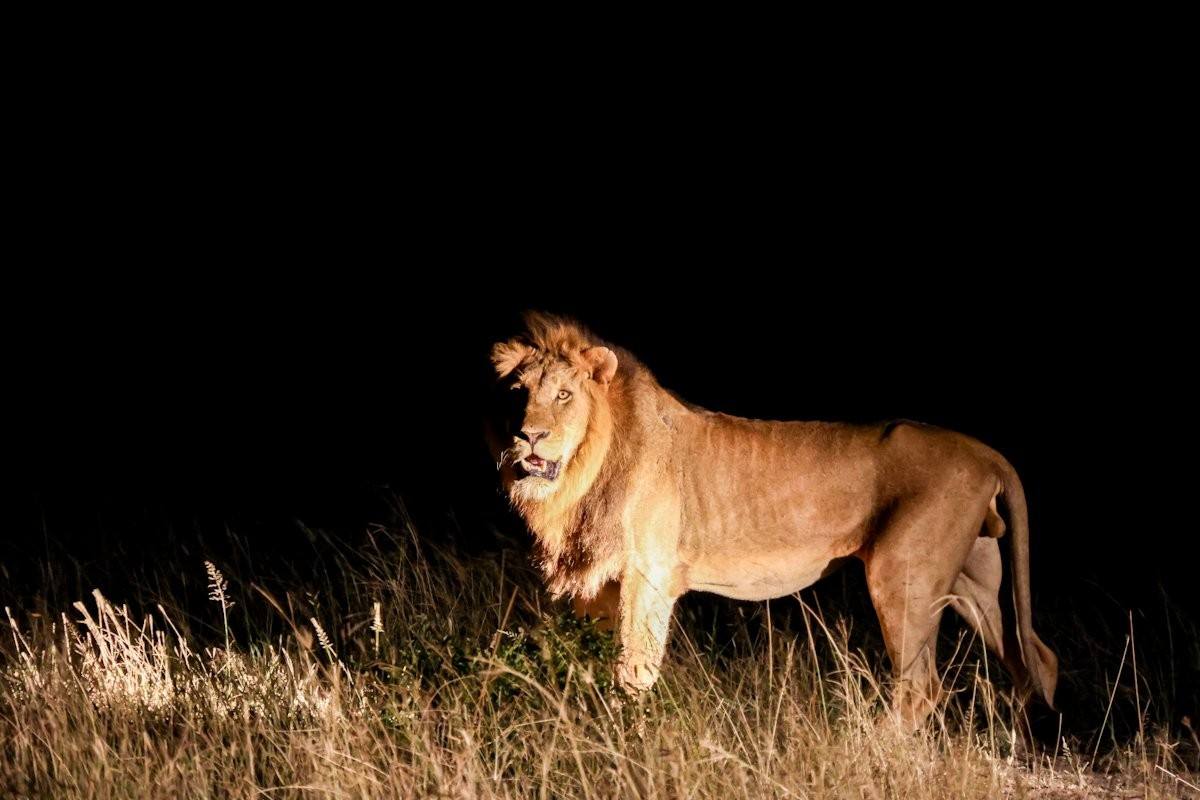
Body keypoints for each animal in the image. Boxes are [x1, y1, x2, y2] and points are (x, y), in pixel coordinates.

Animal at [487, 312, 1057, 725]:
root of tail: (985, 452)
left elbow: (633, 671)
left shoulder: (647, 576)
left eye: (564, 394)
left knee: (922, 688)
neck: (582, 472)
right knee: (1037, 660)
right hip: (970, 580)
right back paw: (1028, 743)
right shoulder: (599, 584)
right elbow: (591, 666)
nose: (528, 435)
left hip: (904, 576)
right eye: (518, 394)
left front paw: (628, 736)